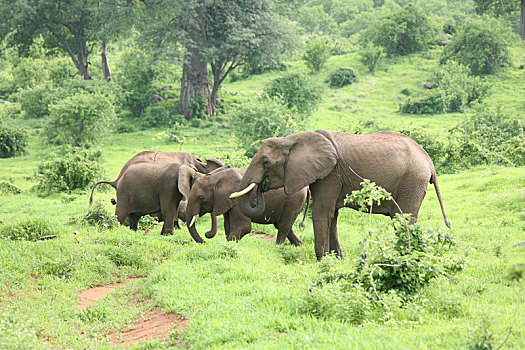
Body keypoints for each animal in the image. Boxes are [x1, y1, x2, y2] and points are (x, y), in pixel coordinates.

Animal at [177, 165, 308, 245]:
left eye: (201, 198)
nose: (206, 236)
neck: (215, 178)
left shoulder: (237, 197)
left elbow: (243, 227)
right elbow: (228, 226)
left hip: (294, 199)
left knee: (283, 226)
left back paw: (278, 247)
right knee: (285, 226)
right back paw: (301, 245)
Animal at [230, 129, 450, 260]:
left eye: (265, 161)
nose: (262, 186)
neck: (293, 140)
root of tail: (429, 160)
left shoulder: (330, 175)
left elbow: (321, 213)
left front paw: (321, 261)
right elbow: (332, 216)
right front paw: (337, 259)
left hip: (411, 182)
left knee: (403, 220)